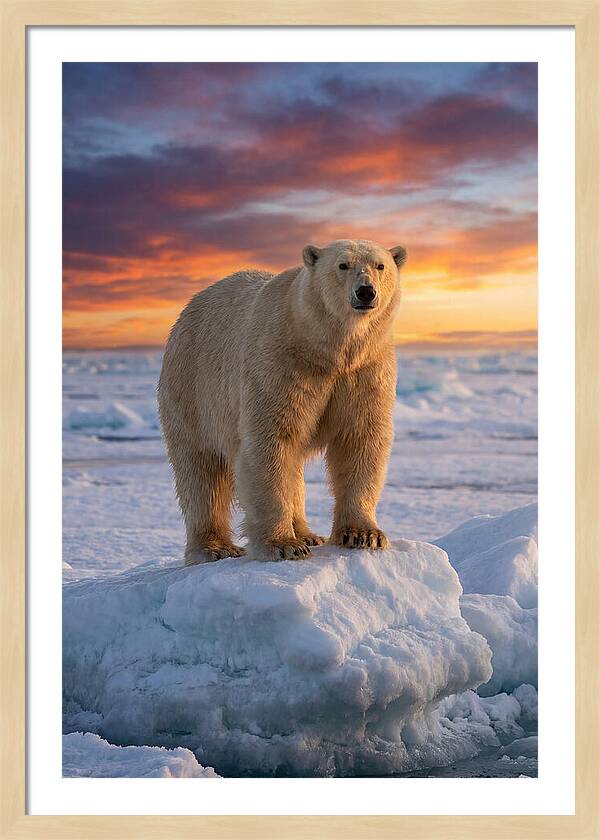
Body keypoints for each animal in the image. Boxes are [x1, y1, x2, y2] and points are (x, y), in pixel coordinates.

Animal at [158, 238, 407, 564]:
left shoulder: (366, 369)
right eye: (343, 265)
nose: (366, 291)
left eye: (380, 266)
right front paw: (283, 545)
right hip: (192, 389)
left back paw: (308, 534)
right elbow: (270, 441)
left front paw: (364, 535)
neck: (326, 349)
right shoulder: (281, 363)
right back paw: (215, 547)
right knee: (201, 472)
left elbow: (360, 439)